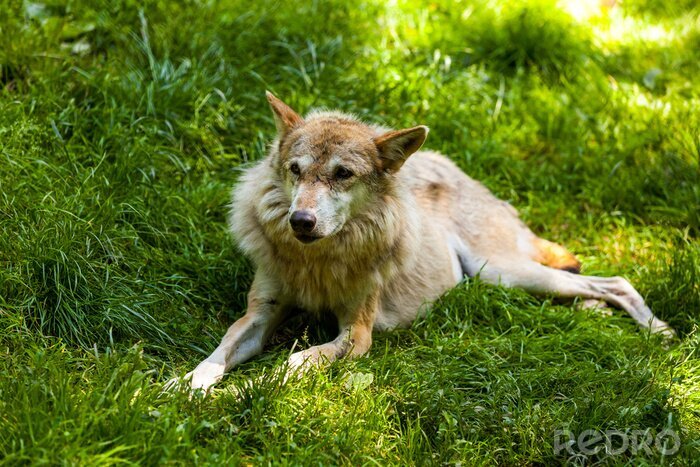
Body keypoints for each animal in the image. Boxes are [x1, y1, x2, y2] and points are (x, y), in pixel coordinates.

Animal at [179, 91, 672, 392]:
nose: (301, 221)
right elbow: (216, 354)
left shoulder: (356, 334)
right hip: (516, 281)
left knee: (617, 282)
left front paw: (243, 393)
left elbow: (292, 365)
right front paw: (182, 389)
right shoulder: (259, 314)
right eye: (296, 170)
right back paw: (595, 311)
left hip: (504, 273)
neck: (316, 261)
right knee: (589, 287)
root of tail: (463, 173)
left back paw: (659, 332)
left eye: (343, 174)